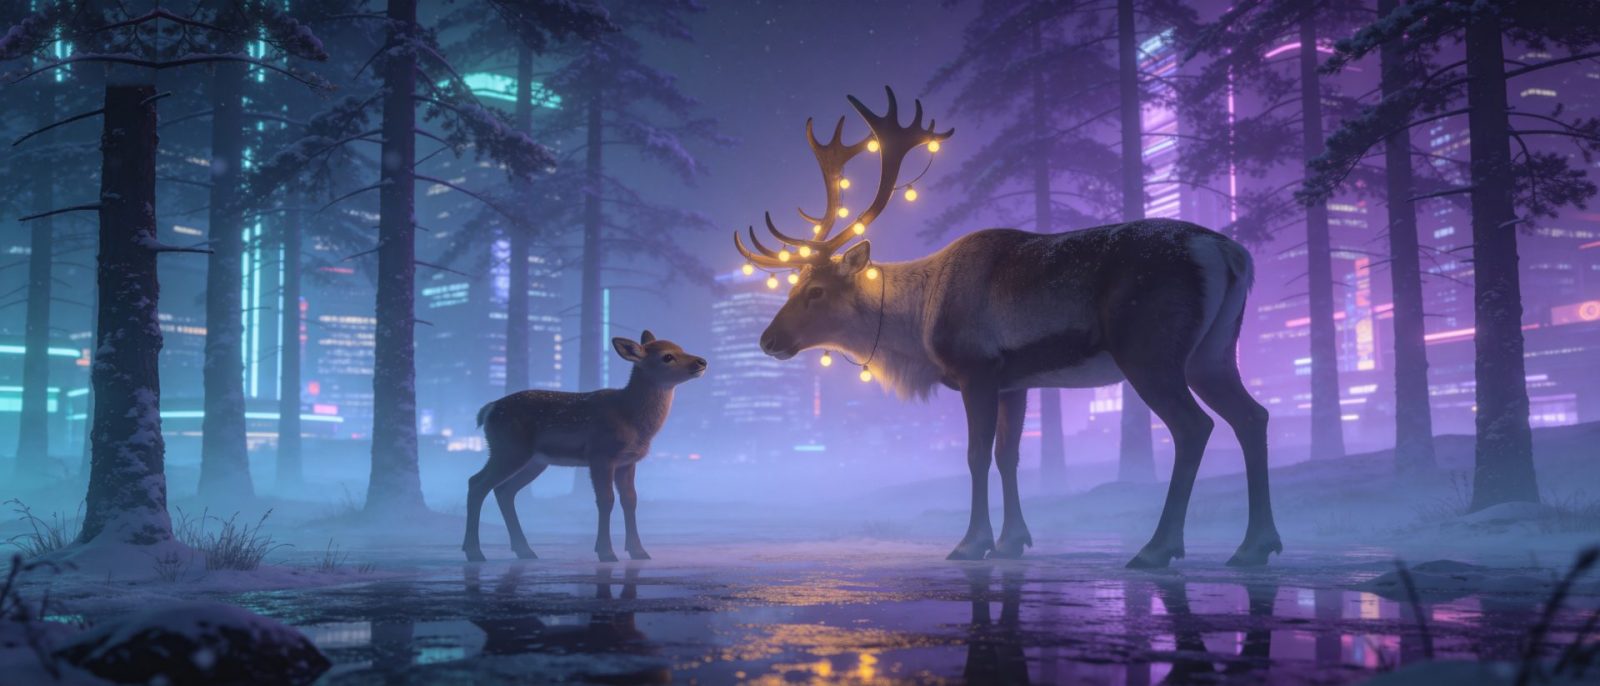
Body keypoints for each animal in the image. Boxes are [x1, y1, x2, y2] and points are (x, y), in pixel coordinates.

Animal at [463, 331, 707, 563]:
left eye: (681, 348)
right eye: (667, 356)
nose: (702, 361)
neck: (630, 416)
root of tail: (488, 410)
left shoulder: (628, 461)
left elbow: (630, 500)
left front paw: (638, 551)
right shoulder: (600, 454)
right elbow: (606, 500)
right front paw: (606, 553)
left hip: (534, 461)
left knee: (504, 490)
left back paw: (525, 550)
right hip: (509, 449)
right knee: (477, 483)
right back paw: (474, 552)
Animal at [734, 87, 1281, 568]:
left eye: (815, 290)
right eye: (792, 284)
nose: (767, 340)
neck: (919, 325)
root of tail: (1232, 254)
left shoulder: (976, 368)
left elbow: (977, 455)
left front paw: (971, 543)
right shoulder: (1015, 382)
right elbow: (1008, 456)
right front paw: (1013, 540)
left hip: (1151, 349)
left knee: (1194, 426)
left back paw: (1157, 548)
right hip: (1213, 352)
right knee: (1253, 416)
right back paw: (1254, 546)